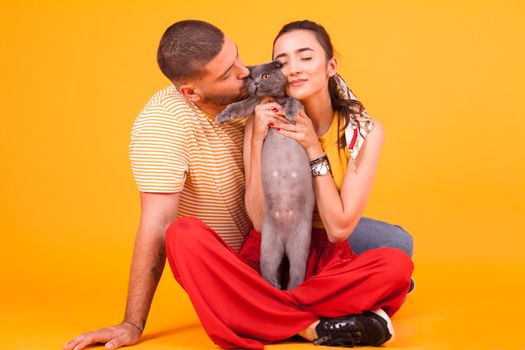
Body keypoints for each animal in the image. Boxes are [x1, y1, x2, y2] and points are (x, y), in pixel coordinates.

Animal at [214, 61, 314, 292]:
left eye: (266, 75)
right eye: (251, 77)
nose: (257, 83)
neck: (275, 99)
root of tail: (285, 236)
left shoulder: (301, 108)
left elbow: (295, 100)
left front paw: (289, 113)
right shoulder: (254, 105)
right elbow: (237, 106)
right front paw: (221, 117)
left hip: (301, 242)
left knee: (297, 273)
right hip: (269, 246)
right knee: (269, 270)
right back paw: (275, 288)